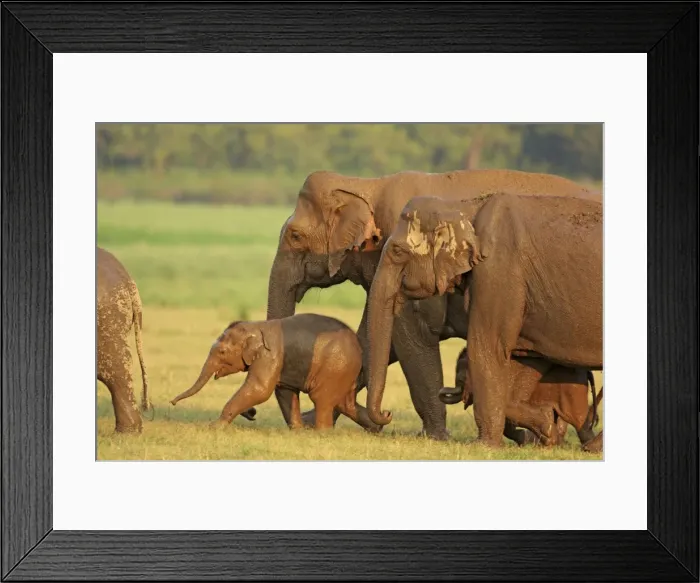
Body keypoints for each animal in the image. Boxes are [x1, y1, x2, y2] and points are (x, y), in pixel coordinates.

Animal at [170, 314, 375, 430]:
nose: (172, 402)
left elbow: (260, 389)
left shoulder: (270, 355)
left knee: (322, 399)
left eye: (221, 352)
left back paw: (322, 434)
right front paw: (297, 432)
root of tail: (360, 348)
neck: (254, 325)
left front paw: (214, 427)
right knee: (345, 403)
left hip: (335, 367)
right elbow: (284, 391)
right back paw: (377, 428)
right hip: (344, 372)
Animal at [440, 347, 603, 448]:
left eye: (460, 380)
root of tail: (586, 372)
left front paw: (525, 440)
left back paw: (588, 447)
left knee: (578, 419)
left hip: (572, 392)